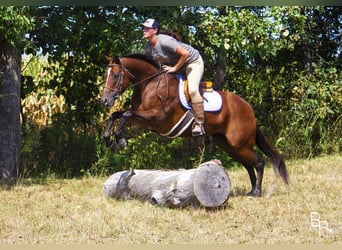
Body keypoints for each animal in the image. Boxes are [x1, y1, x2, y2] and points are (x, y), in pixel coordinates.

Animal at [100, 53, 288, 196]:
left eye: (115, 76)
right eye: (104, 76)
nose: (105, 100)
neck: (149, 84)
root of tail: (248, 107)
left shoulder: (157, 118)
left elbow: (126, 114)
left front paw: (120, 140)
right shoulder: (142, 119)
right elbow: (116, 114)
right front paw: (109, 140)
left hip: (239, 144)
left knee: (259, 162)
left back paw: (256, 192)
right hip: (228, 145)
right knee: (249, 165)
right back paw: (251, 190)